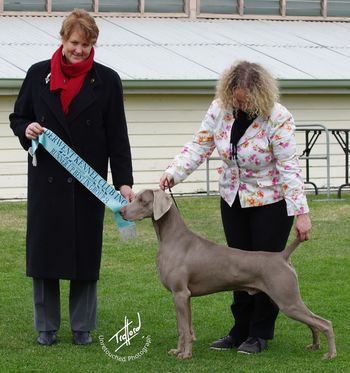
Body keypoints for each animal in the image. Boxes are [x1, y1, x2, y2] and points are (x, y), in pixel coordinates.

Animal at [120, 189, 336, 358]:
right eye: (135, 197)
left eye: (142, 200)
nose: (121, 211)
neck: (173, 238)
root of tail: (281, 256)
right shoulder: (184, 297)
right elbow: (184, 328)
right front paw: (178, 350)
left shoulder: (180, 294)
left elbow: (183, 329)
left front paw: (185, 354)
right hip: (283, 298)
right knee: (313, 323)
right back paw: (315, 345)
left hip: (287, 300)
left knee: (324, 322)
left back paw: (330, 354)